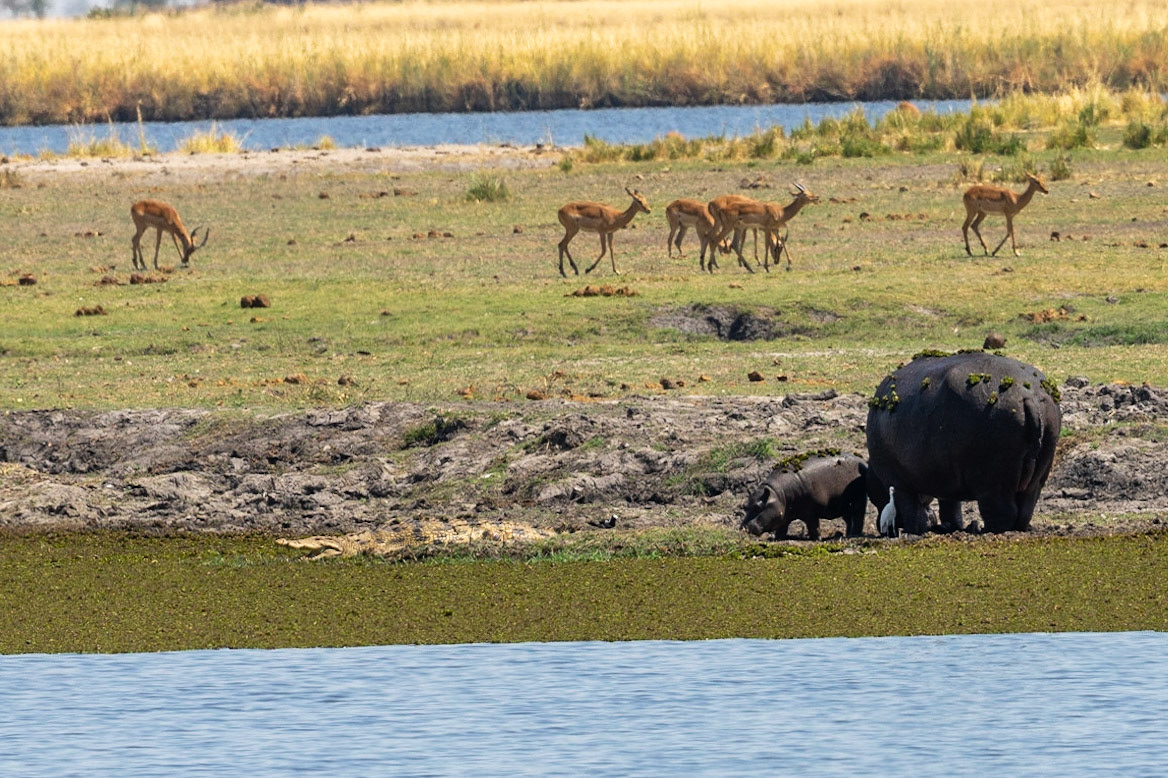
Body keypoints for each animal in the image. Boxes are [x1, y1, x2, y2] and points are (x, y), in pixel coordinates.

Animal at [865, 351, 1061, 534]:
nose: (881, 527)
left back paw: (984, 530)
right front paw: (951, 527)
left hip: (993, 480)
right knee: (1025, 510)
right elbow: (950, 506)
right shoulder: (945, 480)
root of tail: (1028, 395)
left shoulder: (899, 483)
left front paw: (914, 531)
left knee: (1002, 512)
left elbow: (911, 511)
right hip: (1037, 475)